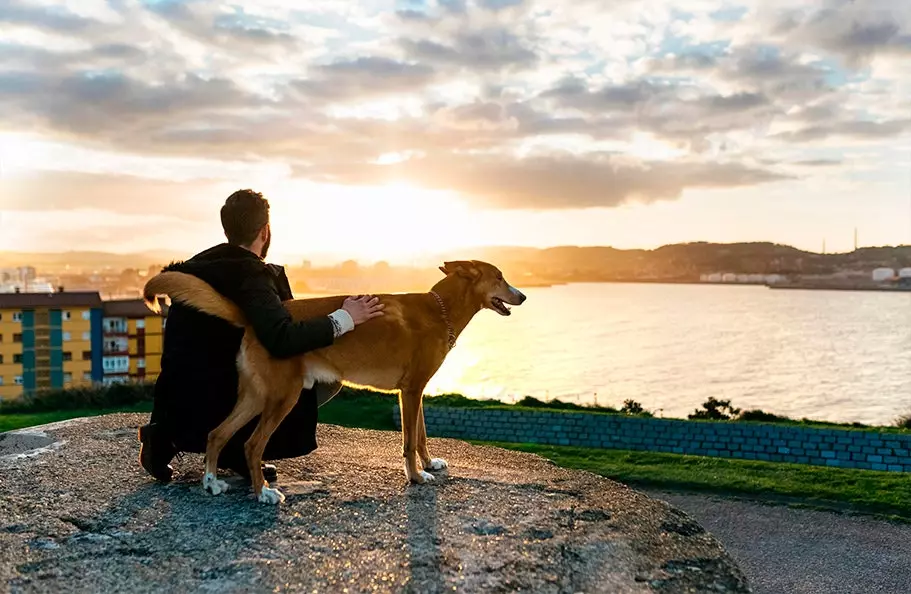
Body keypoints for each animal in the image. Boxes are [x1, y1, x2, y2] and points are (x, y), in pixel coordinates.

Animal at [143, 258, 528, 500]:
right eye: (498, 276)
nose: (523, 295)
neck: (440, 310)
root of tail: (258, 320)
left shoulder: (415, 392)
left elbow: (421, 435)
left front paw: (430, 463)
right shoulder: (411, 390)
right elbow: (408, 441)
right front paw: (416, 477)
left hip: (255, 396)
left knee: (217, 433)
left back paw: (211, 484)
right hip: (284, 396)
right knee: (251, 444)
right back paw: (263, 493)